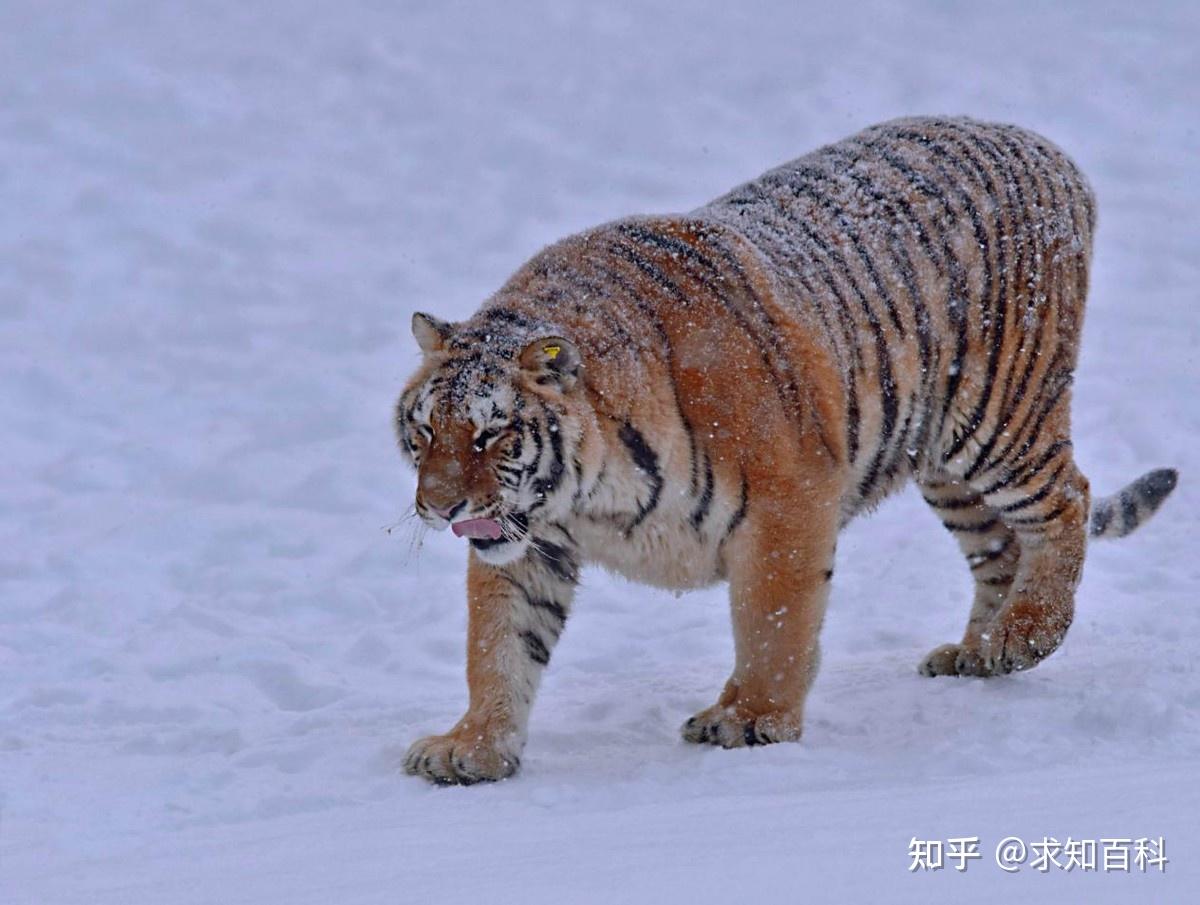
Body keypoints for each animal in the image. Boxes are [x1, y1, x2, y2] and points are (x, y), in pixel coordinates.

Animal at [396, 116, 1180, 777]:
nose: (439, 507)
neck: (592, 490)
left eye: (492, 433)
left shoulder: (786, 504)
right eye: (425, 431)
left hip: (997, 417)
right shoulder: (531, 542)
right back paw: (979, 654)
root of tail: (1044, 147)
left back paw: (1025, 633)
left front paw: (750, 719)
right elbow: (499, 644)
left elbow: (772, 624)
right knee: (1001, 550)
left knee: (1066, 499)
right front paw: (472, 747)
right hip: (946, 467)